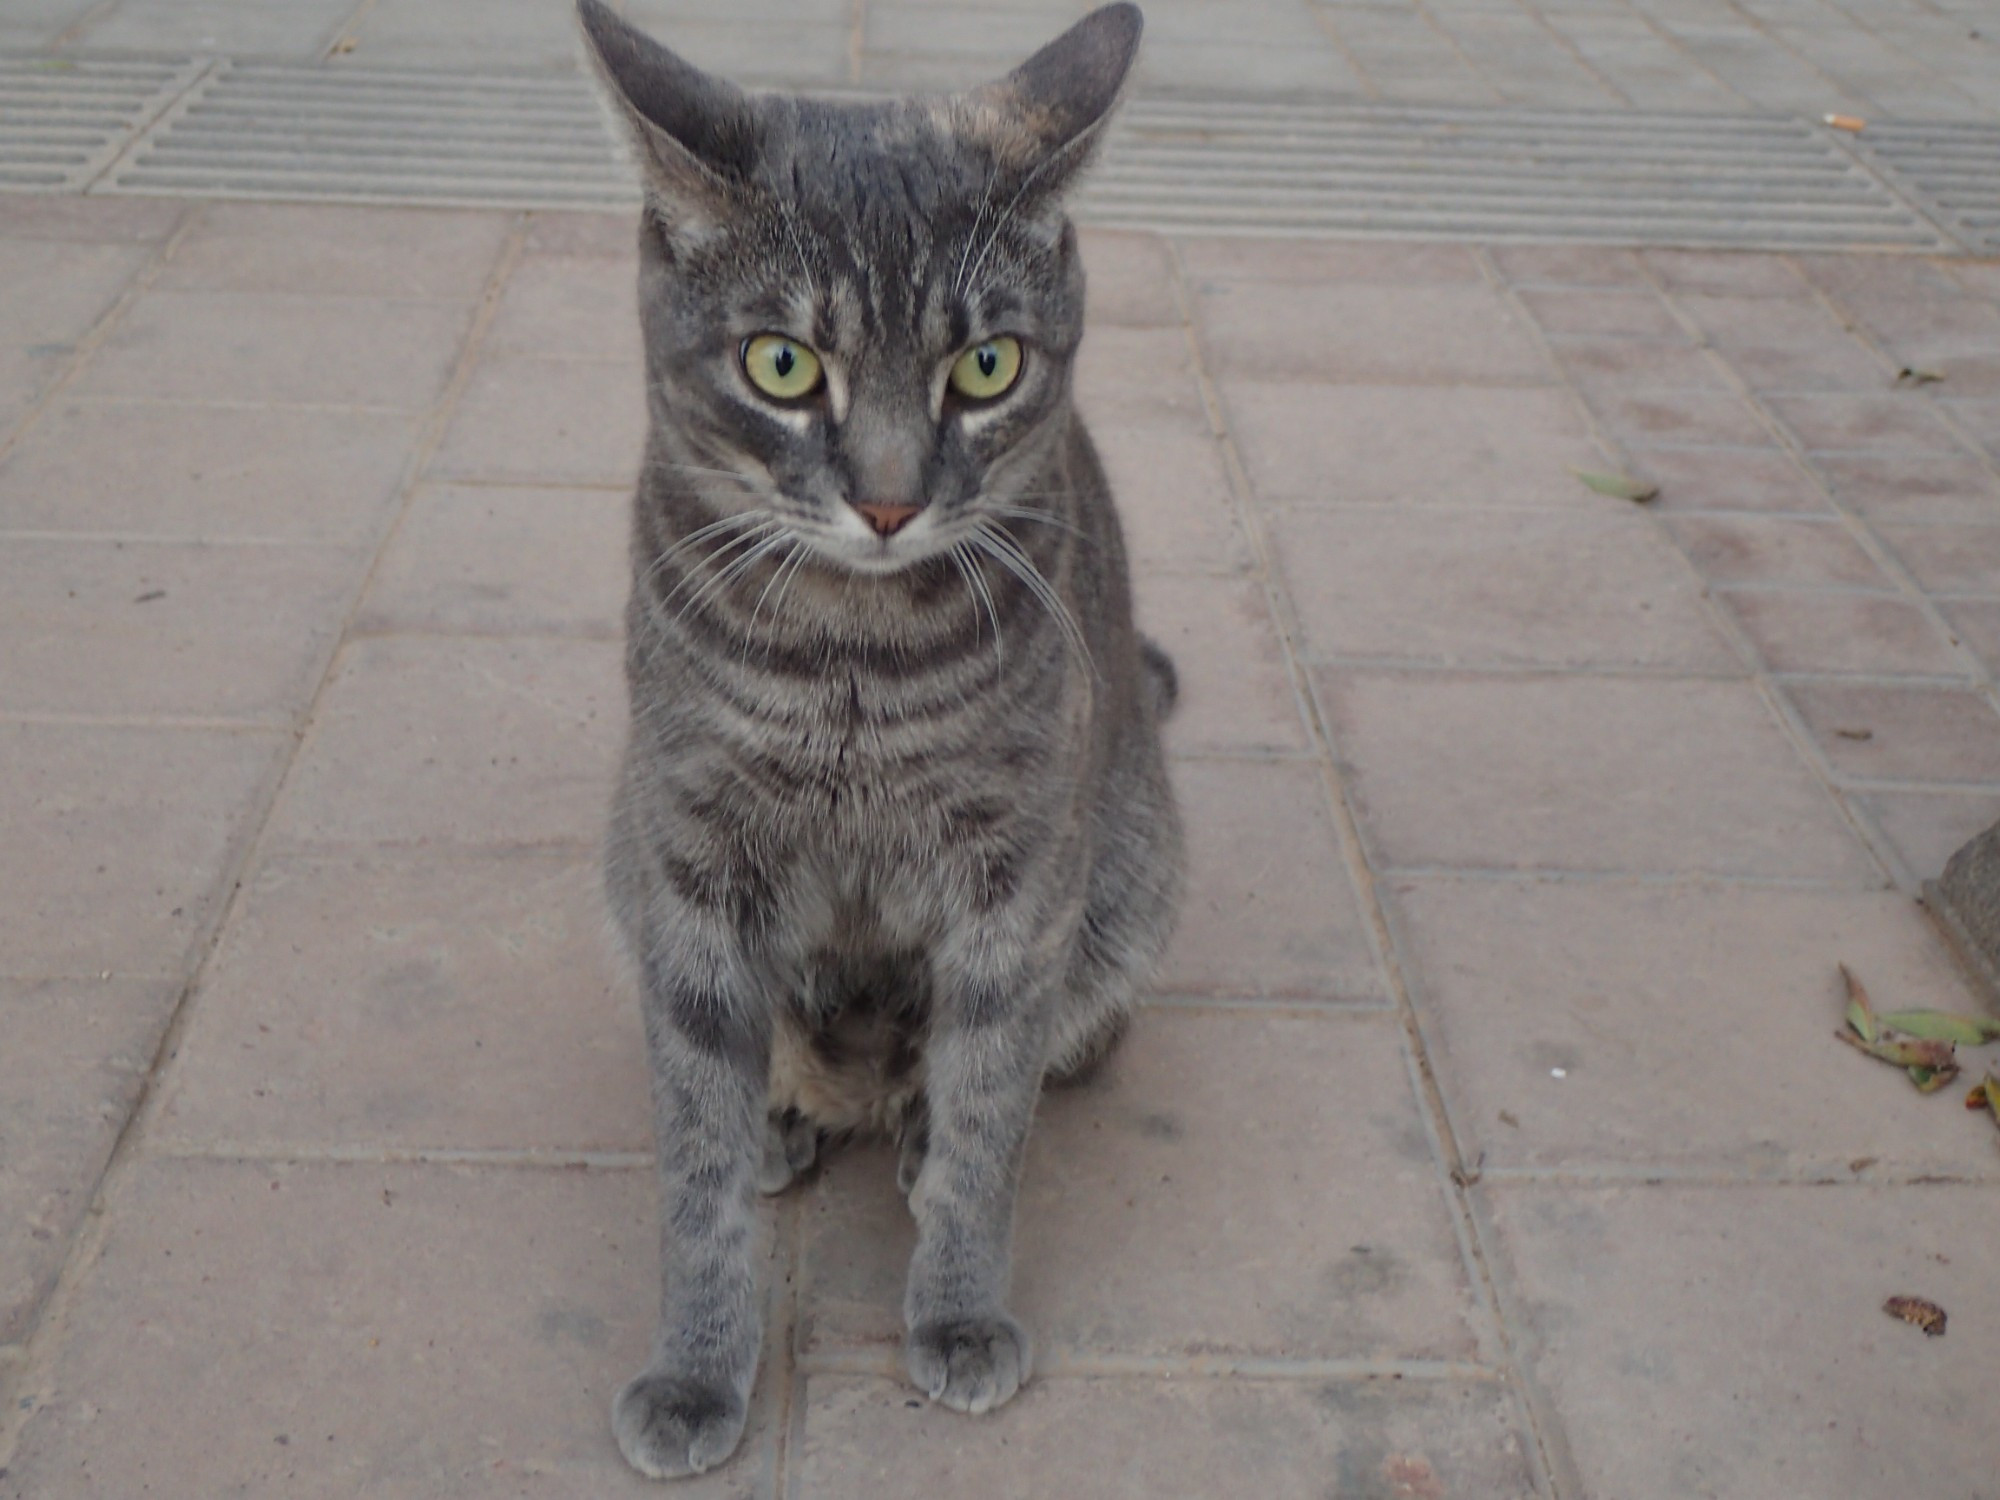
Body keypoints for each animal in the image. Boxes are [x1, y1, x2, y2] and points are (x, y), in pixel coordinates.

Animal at [572, 0, 1176, 1480]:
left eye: (985, 365)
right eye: (783, 365)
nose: (892, 503)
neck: (846, 660)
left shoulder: (1013, 881)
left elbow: (983, 1108)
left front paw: (955, 1309)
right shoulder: (688, 866)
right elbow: (695, 1160)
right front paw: (696, 1368)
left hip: (1126, 875)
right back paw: (790, 1119)